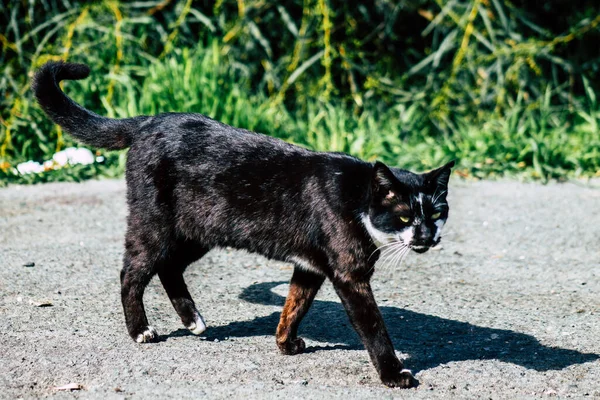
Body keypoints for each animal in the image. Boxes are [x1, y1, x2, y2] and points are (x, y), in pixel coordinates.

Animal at [34, 61, 454, 390]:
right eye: (404, 215)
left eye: (436, 213)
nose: (427, 236)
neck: (355, 199)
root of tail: (151, 120)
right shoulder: (350, 276)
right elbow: (374, 328)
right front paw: (394, 374)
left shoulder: (310, 266)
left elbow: (294, 305)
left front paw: (285, 343)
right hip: (155, 224)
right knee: (132, 271)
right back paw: (141, 331)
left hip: (197, 230)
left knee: (169, 267)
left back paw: (193, 321)